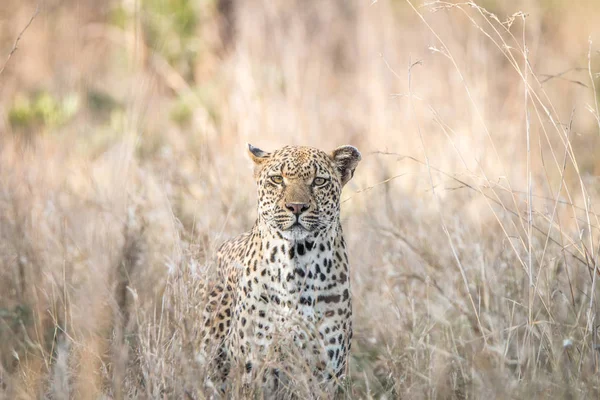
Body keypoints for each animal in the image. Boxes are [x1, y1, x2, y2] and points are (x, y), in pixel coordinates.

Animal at [200, 144, 360, 396]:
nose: (297, 207)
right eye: (277, 179)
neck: (297, 263)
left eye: (319, 181)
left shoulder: (325, 373)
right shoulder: (254, 367)